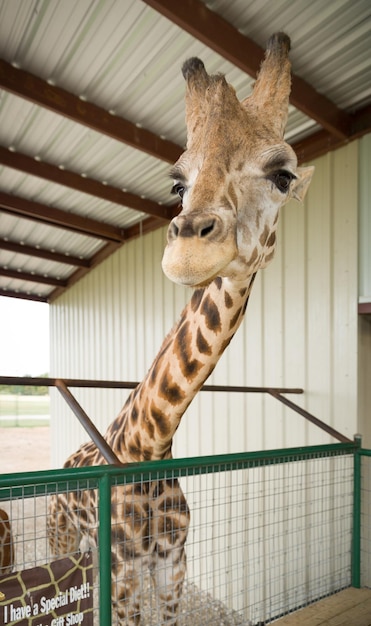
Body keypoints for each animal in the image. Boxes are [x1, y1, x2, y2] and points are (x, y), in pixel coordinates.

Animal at [47, 34, 314, 624]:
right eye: (177, 183)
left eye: (282, 175)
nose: (189, 248)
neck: (149, 448)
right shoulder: (125, 575)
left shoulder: (172, 568)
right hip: (61, 538)